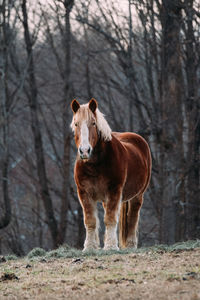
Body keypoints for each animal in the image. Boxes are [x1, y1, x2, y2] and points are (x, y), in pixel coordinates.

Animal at [70, 98, 152, 251]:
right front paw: (90, 247)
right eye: (76, 123)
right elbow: (90, 221)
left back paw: (131, 245)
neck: (95, 165)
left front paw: (111, 247)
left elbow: (110, 219)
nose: (84, 151)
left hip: (138, 195)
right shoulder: (84, 193)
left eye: (93, 123)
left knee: (133, 216)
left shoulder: (114, 191)